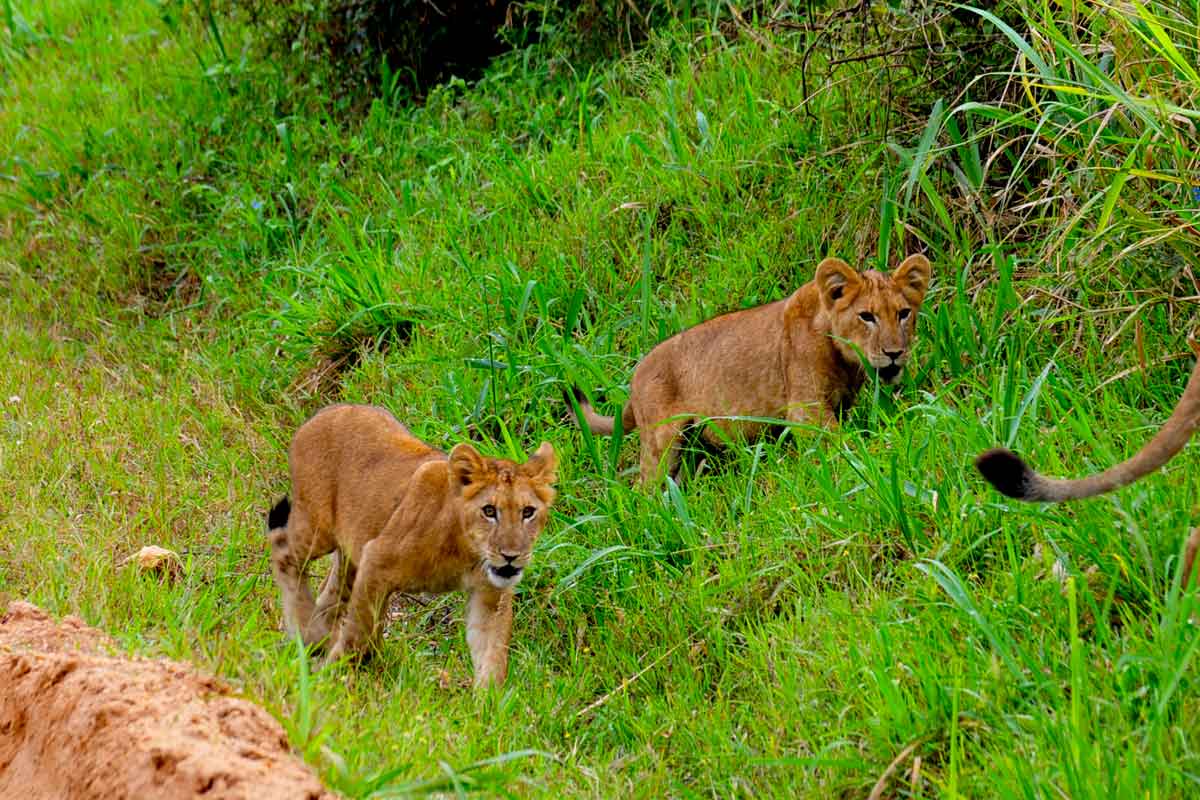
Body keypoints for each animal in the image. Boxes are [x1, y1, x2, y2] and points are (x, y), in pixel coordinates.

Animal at [266, 404, 558, 688]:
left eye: (528, 512)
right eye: (489, 511)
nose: (511, 556)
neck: (467, 553)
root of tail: (321, 414)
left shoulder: (491, 595)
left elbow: (492, 653)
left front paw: (487, 701)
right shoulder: (376, 559)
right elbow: (359, 631)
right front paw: (334, 675)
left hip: (351, 551)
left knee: (332, 593)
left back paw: (316, 638)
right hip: (317, 528)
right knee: (286, 553)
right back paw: (306, 630)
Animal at [569, 254, 932, 484]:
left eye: (903, 313)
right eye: (866, 316)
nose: (894, 353)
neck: (845, 360)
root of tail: (635, 377)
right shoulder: (805, 411)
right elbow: (843, 446)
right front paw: (878, 454)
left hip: (692, 442)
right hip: (661, 441)